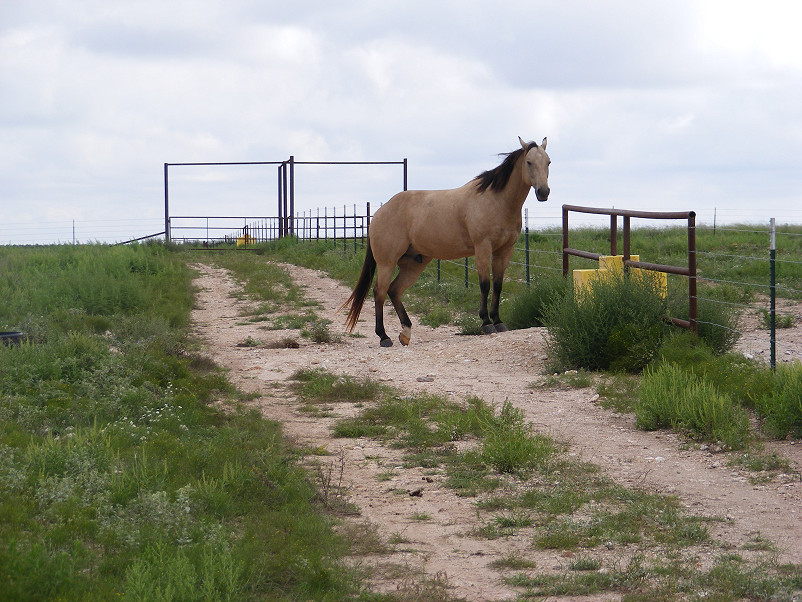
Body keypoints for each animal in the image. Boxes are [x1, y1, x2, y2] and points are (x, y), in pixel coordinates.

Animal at [340, 135, 548, 342]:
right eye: (529, 162)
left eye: (548, 162)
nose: (543, 192)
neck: (496, 201)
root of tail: (379, 213)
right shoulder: (483, 247)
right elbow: (485, 285)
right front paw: (486, 323)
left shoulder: (504, 251)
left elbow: (497, 286)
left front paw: (498, 321)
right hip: (387, 262)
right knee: (380, 292)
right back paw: (383, 336)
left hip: (414, 264)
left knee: (394, 290)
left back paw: (405, 332)